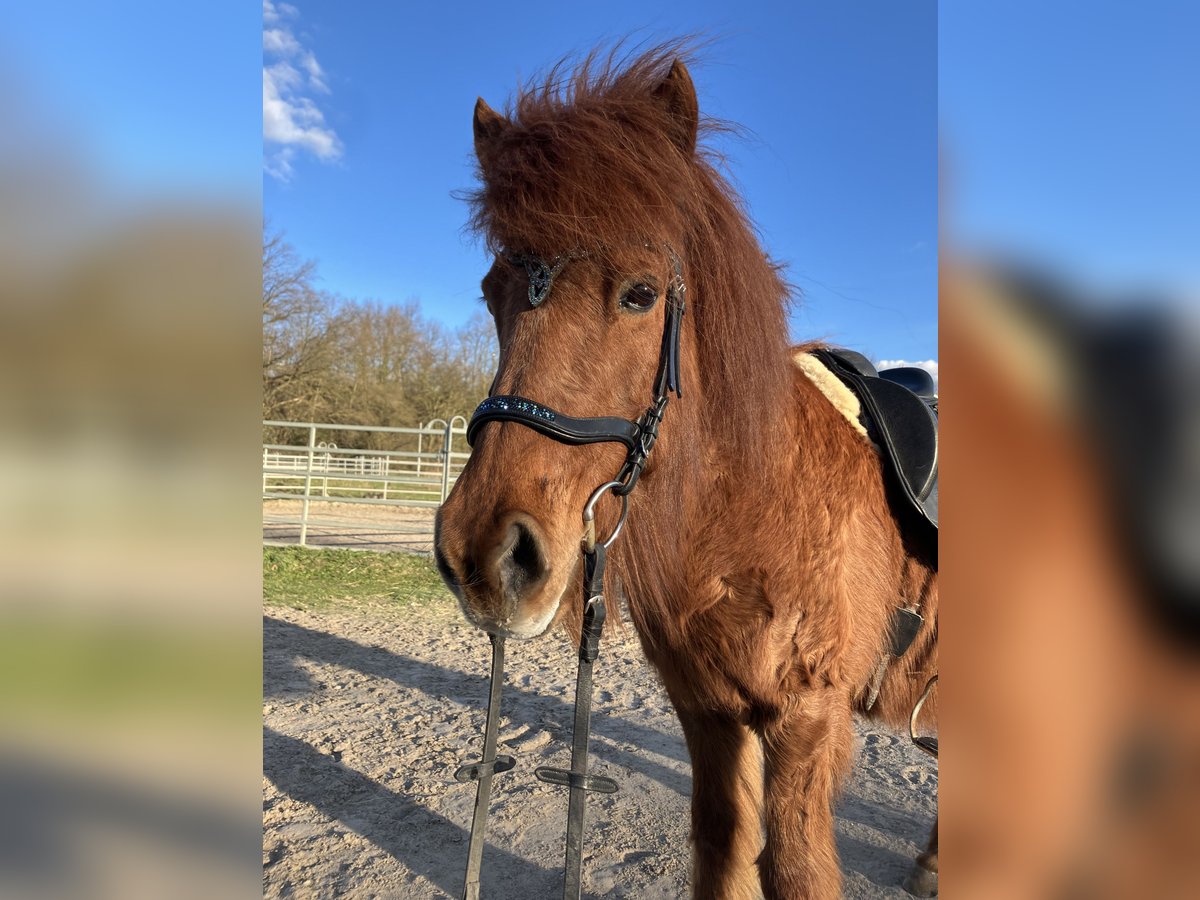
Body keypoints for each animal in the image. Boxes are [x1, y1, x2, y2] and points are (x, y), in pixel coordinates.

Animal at [434, 47, 938, 899]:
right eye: (492, 292)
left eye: (640, 295)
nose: (485, 556)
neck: (757, 507)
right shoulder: (708, 711)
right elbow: (723, 847)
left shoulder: (807, 720)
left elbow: (796, 869)